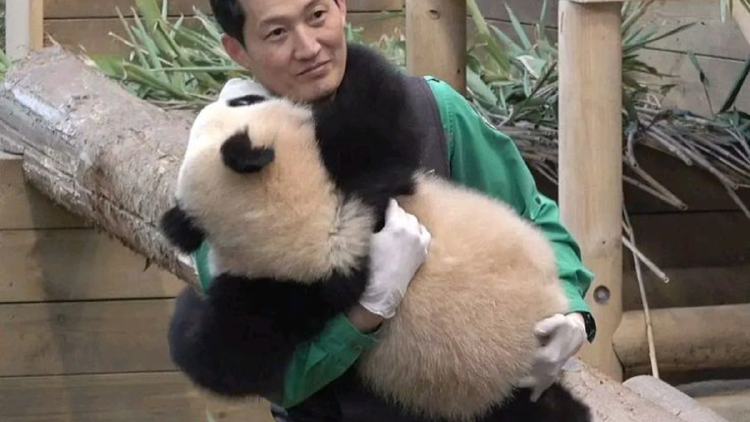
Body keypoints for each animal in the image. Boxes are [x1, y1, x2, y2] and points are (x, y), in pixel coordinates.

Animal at [160, 43, 592, 422]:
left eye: (241, 104)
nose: (233, 84)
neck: (317, 225)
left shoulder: (358, 181)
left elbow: (374, 106)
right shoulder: (285, 290)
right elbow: (241, 356)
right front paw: (188, 309)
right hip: (497, 391)